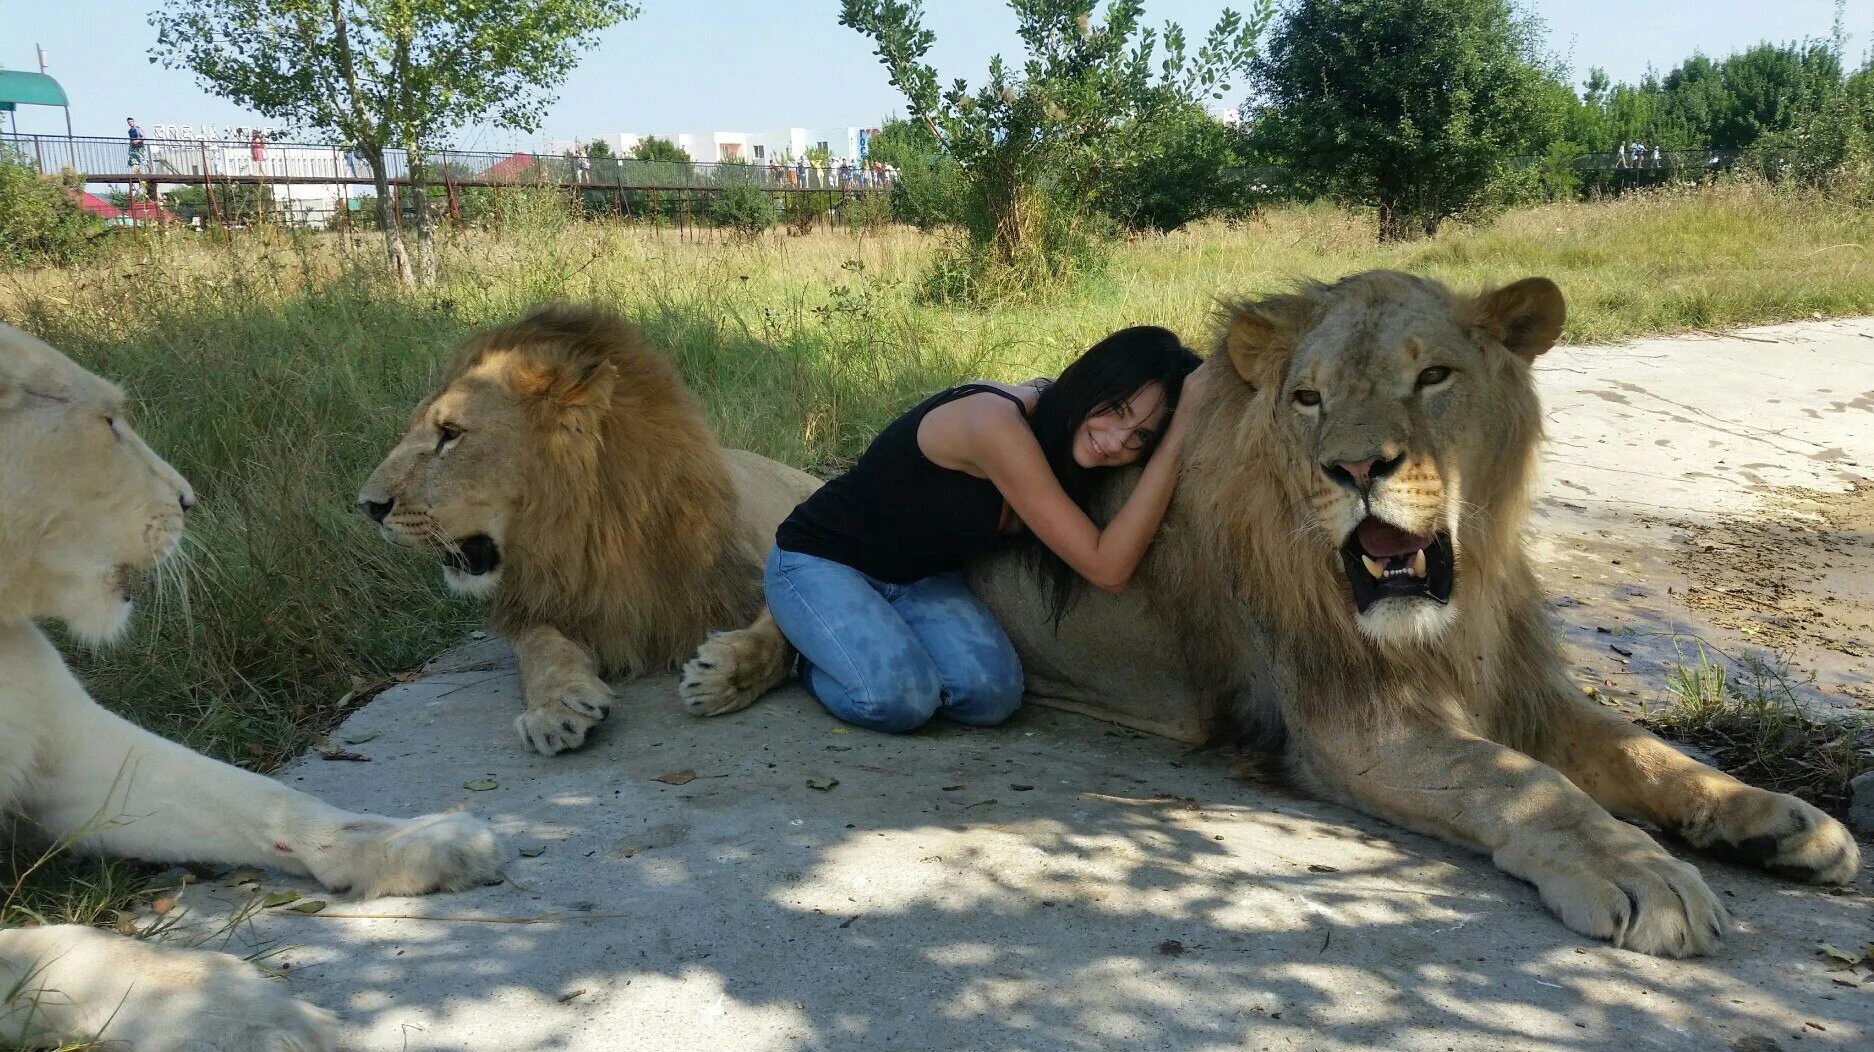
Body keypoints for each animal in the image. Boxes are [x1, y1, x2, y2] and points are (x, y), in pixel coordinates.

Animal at [0, 322, 505, 1050]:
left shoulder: (71, 755)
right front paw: (243, 1011)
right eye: (108, 423)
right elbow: (62, 948)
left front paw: (426, 840)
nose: (187, 500)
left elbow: (260, 798)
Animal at [354, 303, 817, 753]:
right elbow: (540, 648)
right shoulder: (540, 605)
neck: (591, 535)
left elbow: (782, 629)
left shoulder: (740, 579)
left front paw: (725, 676)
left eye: (450, 433)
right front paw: (556, 708)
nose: (367, 507)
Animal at [689, 268, 1859, 952]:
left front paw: (1777, 819)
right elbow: (1521, 782)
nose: (1355, 468)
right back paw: (727, 667)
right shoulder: (1348, 720)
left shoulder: (1517, 678)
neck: (1454, 597)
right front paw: (1639, 875)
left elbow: (1641, 752)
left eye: (1433, 377)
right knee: (802, 610)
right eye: (1307, 397)